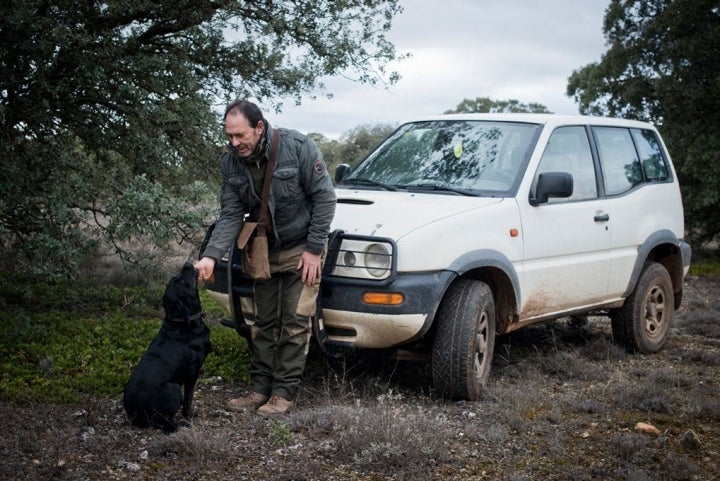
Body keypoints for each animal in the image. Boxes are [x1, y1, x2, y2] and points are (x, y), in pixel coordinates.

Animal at [123, 262, 211, 432]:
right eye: (182, 281)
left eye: (177, 277)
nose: (188, 264)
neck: (182, 322)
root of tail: (135, 415)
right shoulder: (192, 371)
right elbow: (188, 399)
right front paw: (189, 415)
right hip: (173, 389)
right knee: (164, 423)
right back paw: (179, 424)